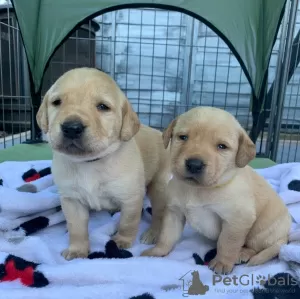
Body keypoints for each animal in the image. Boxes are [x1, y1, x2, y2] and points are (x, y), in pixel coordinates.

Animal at [35, 67, 169, 260]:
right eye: (57, 102)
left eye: (103, 107)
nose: (71, 128)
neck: (89, 162)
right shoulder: (71, 199)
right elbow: (76, 228)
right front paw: (77, 249)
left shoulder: (131, 198)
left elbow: (128, 223)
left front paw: (121, 241)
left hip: (159, 188)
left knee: (159, 214)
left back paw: (153, 233)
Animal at [142, 106, 292, 276]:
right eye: (183, 137)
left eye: (222, 146)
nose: (194, 164)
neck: (198, 189)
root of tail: (284, 237)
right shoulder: (174, 212)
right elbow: (166, 236)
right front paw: (156, 252)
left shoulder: (237, 220)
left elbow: (227, 243)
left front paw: (222, 262)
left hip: (261, 230)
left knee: (256, 248)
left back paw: (242, 253)